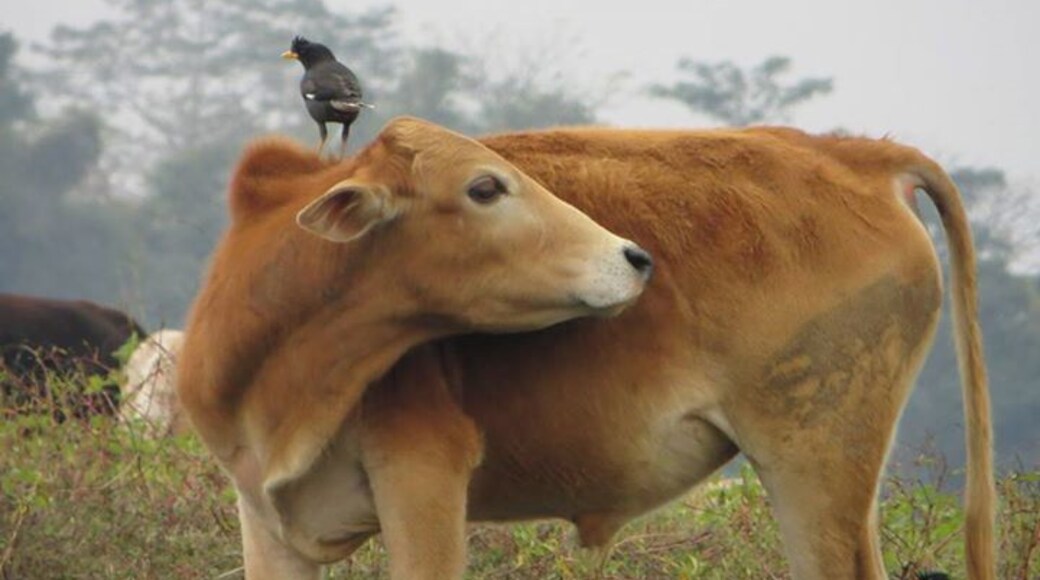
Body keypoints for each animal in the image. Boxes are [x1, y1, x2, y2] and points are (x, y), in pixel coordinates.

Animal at [177, 118, 995, 580]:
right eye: (484, 188)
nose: (633, 258)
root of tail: (856, 157)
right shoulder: (266, 518)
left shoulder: (423, 476)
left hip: (815, 465)